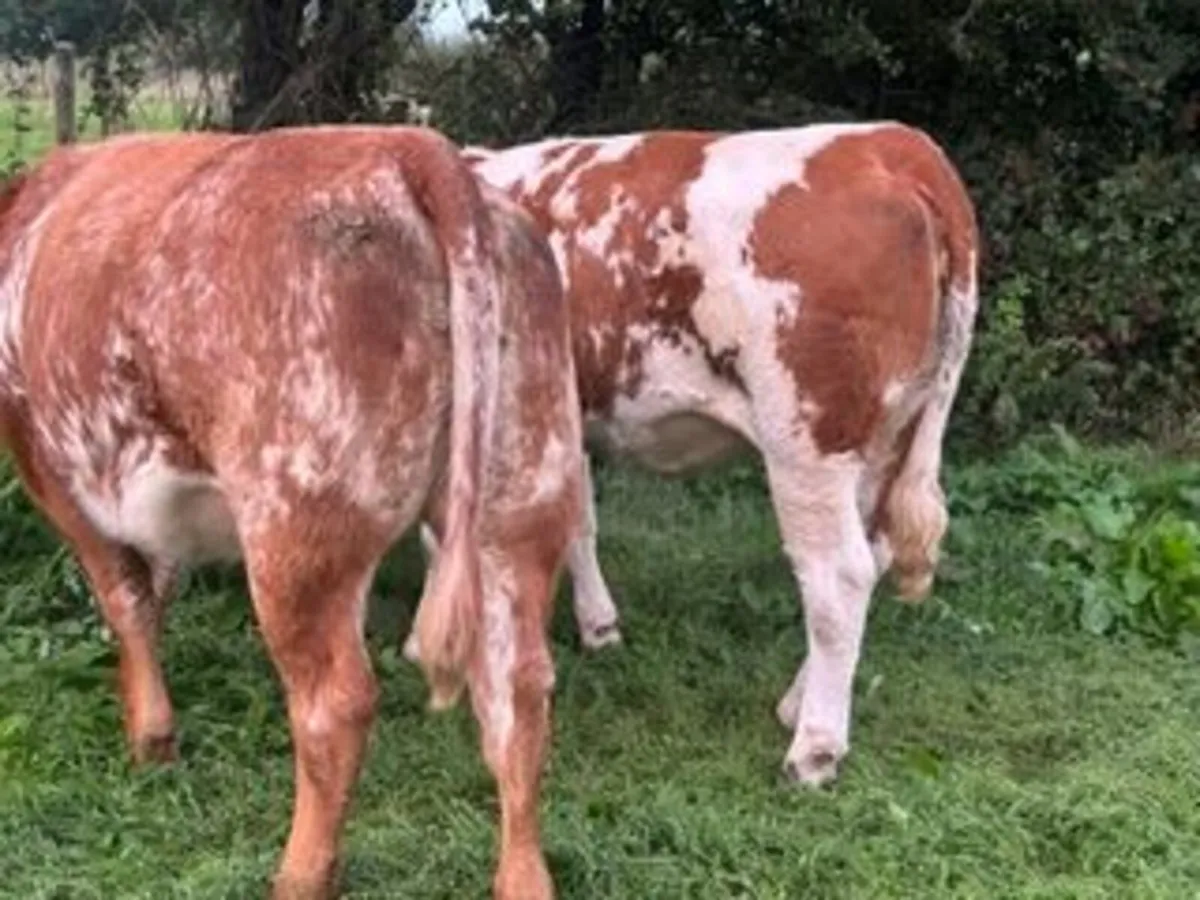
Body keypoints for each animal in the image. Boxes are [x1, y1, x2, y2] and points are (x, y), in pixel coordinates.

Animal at [0, 125, 583, 900]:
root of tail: (407, 147)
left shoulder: (58, 478)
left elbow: (126, 602)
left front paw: (151, 738)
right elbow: (154, 591)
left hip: (297, 529)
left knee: (335, 703)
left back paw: (300, 873)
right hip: (520, 500)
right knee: (519, 690)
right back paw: (523, 877)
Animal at [409, 122, 980, 787]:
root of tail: (893, 145)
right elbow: (578, 523)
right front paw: (599, 625)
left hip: (809, 439)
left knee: (839, 575)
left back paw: (814, 748)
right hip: (891, 432)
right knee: (875, 551)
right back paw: (797, 703)